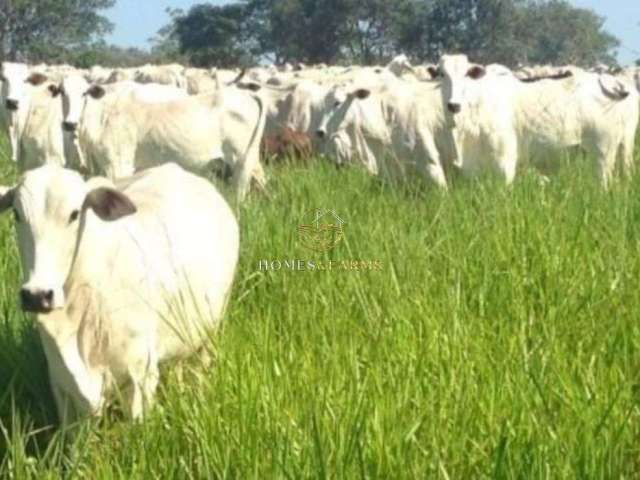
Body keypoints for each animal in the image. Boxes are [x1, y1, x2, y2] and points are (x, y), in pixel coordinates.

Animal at [0, 163, 239, 422]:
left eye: (74, 214)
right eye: (17, 214)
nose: (37, 295)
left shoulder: (140, 376)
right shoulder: (62, 386)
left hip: (210, 332)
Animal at [438, 54, 636, 186]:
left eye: (467, 75)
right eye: (441, 74)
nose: (453, 105)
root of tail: (606, 80)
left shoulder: (505, 160)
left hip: (604, 152)